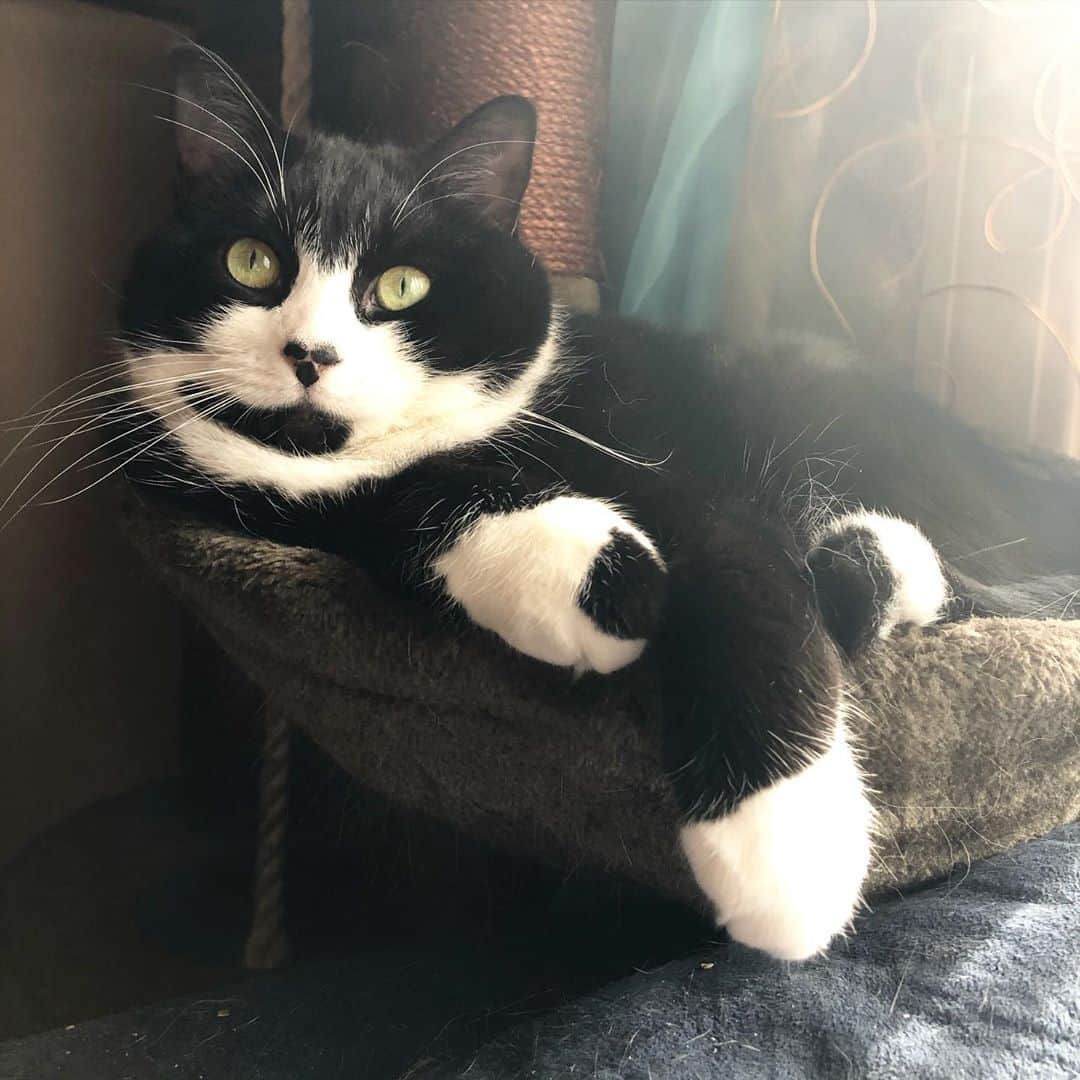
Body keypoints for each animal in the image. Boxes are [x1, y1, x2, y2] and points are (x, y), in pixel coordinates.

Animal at [111, 48, 1080, 963]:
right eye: (251, 262)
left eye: (401, 287)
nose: (310, 353)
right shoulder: (275, 494)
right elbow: (397, 504)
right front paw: (591, 576)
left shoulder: (682, 477)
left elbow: (743, 574)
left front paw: (784, 857)